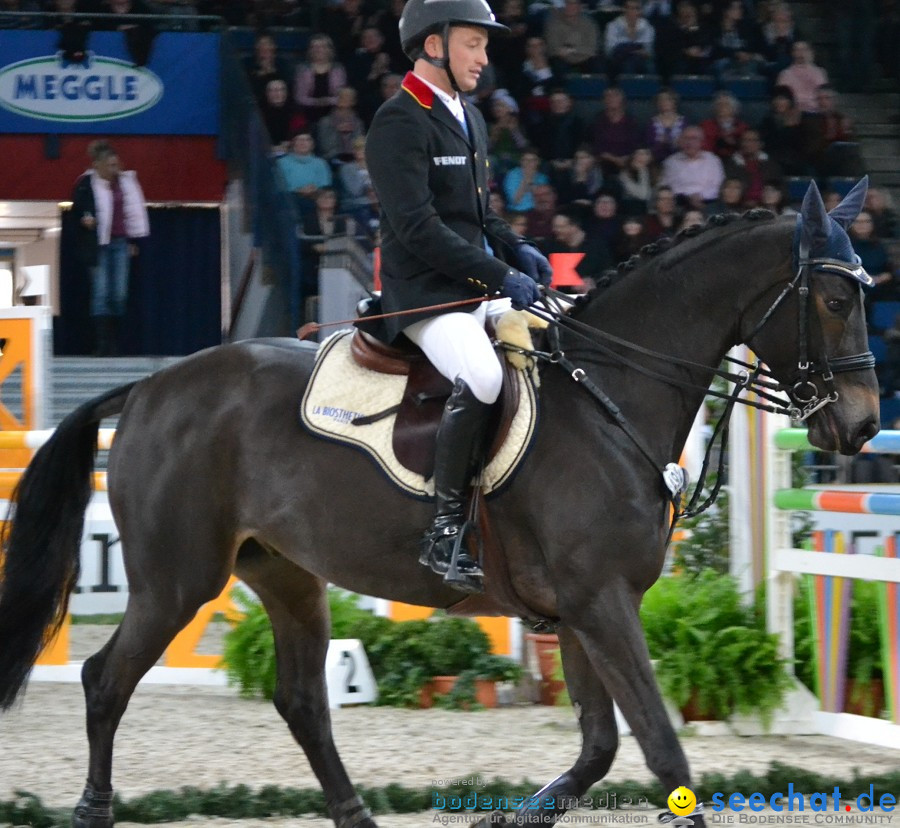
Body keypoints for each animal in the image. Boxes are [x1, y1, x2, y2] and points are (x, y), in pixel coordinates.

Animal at [0, 183, 880, 828]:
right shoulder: (601, 602)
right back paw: (93, 810)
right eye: (835, 301)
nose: (863, 425)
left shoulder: (585, 608)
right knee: (105, 680)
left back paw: (355, 817)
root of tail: (149, 386)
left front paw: (511, 819)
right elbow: (662, 749)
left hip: (286, 574)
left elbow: (599, 747)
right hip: (177, 580)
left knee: (302, 701)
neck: (607, 394)